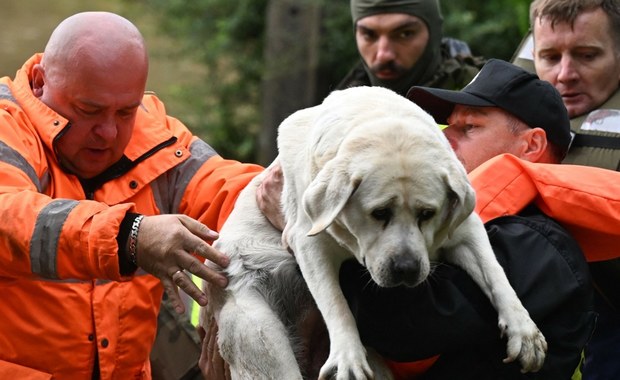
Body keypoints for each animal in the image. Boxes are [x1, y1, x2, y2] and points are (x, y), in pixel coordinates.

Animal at [201, 87, 544, 380]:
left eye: (427, 214)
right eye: (379, 213)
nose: (406, 269)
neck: (380, 121)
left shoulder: (467, 229)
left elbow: (496, 273)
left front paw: (524, 330)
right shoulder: (310, 243)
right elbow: (336, 302)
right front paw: (347, 356)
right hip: (259, 333)